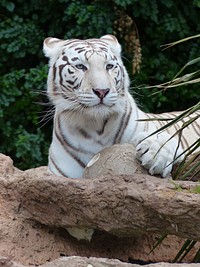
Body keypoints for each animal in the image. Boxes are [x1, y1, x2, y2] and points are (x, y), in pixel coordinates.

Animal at [43, 34, 199, 180]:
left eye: (109, 66)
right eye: (80, 66)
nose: (102, 91)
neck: (96, 127)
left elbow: (165, 138)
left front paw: (155, 153)